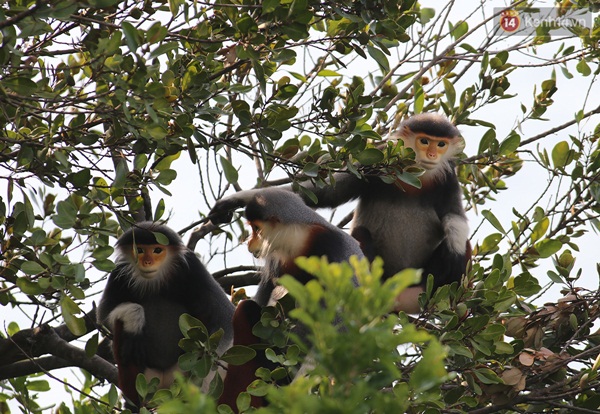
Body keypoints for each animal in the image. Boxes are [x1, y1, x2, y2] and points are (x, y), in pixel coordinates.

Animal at [96, 222, 234, 410]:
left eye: (157, 250)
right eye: (139, 250)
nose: (147, 262)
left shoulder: (193, 268)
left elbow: (226, 318)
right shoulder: (119, 270)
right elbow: (103, 313)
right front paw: (134, 318)